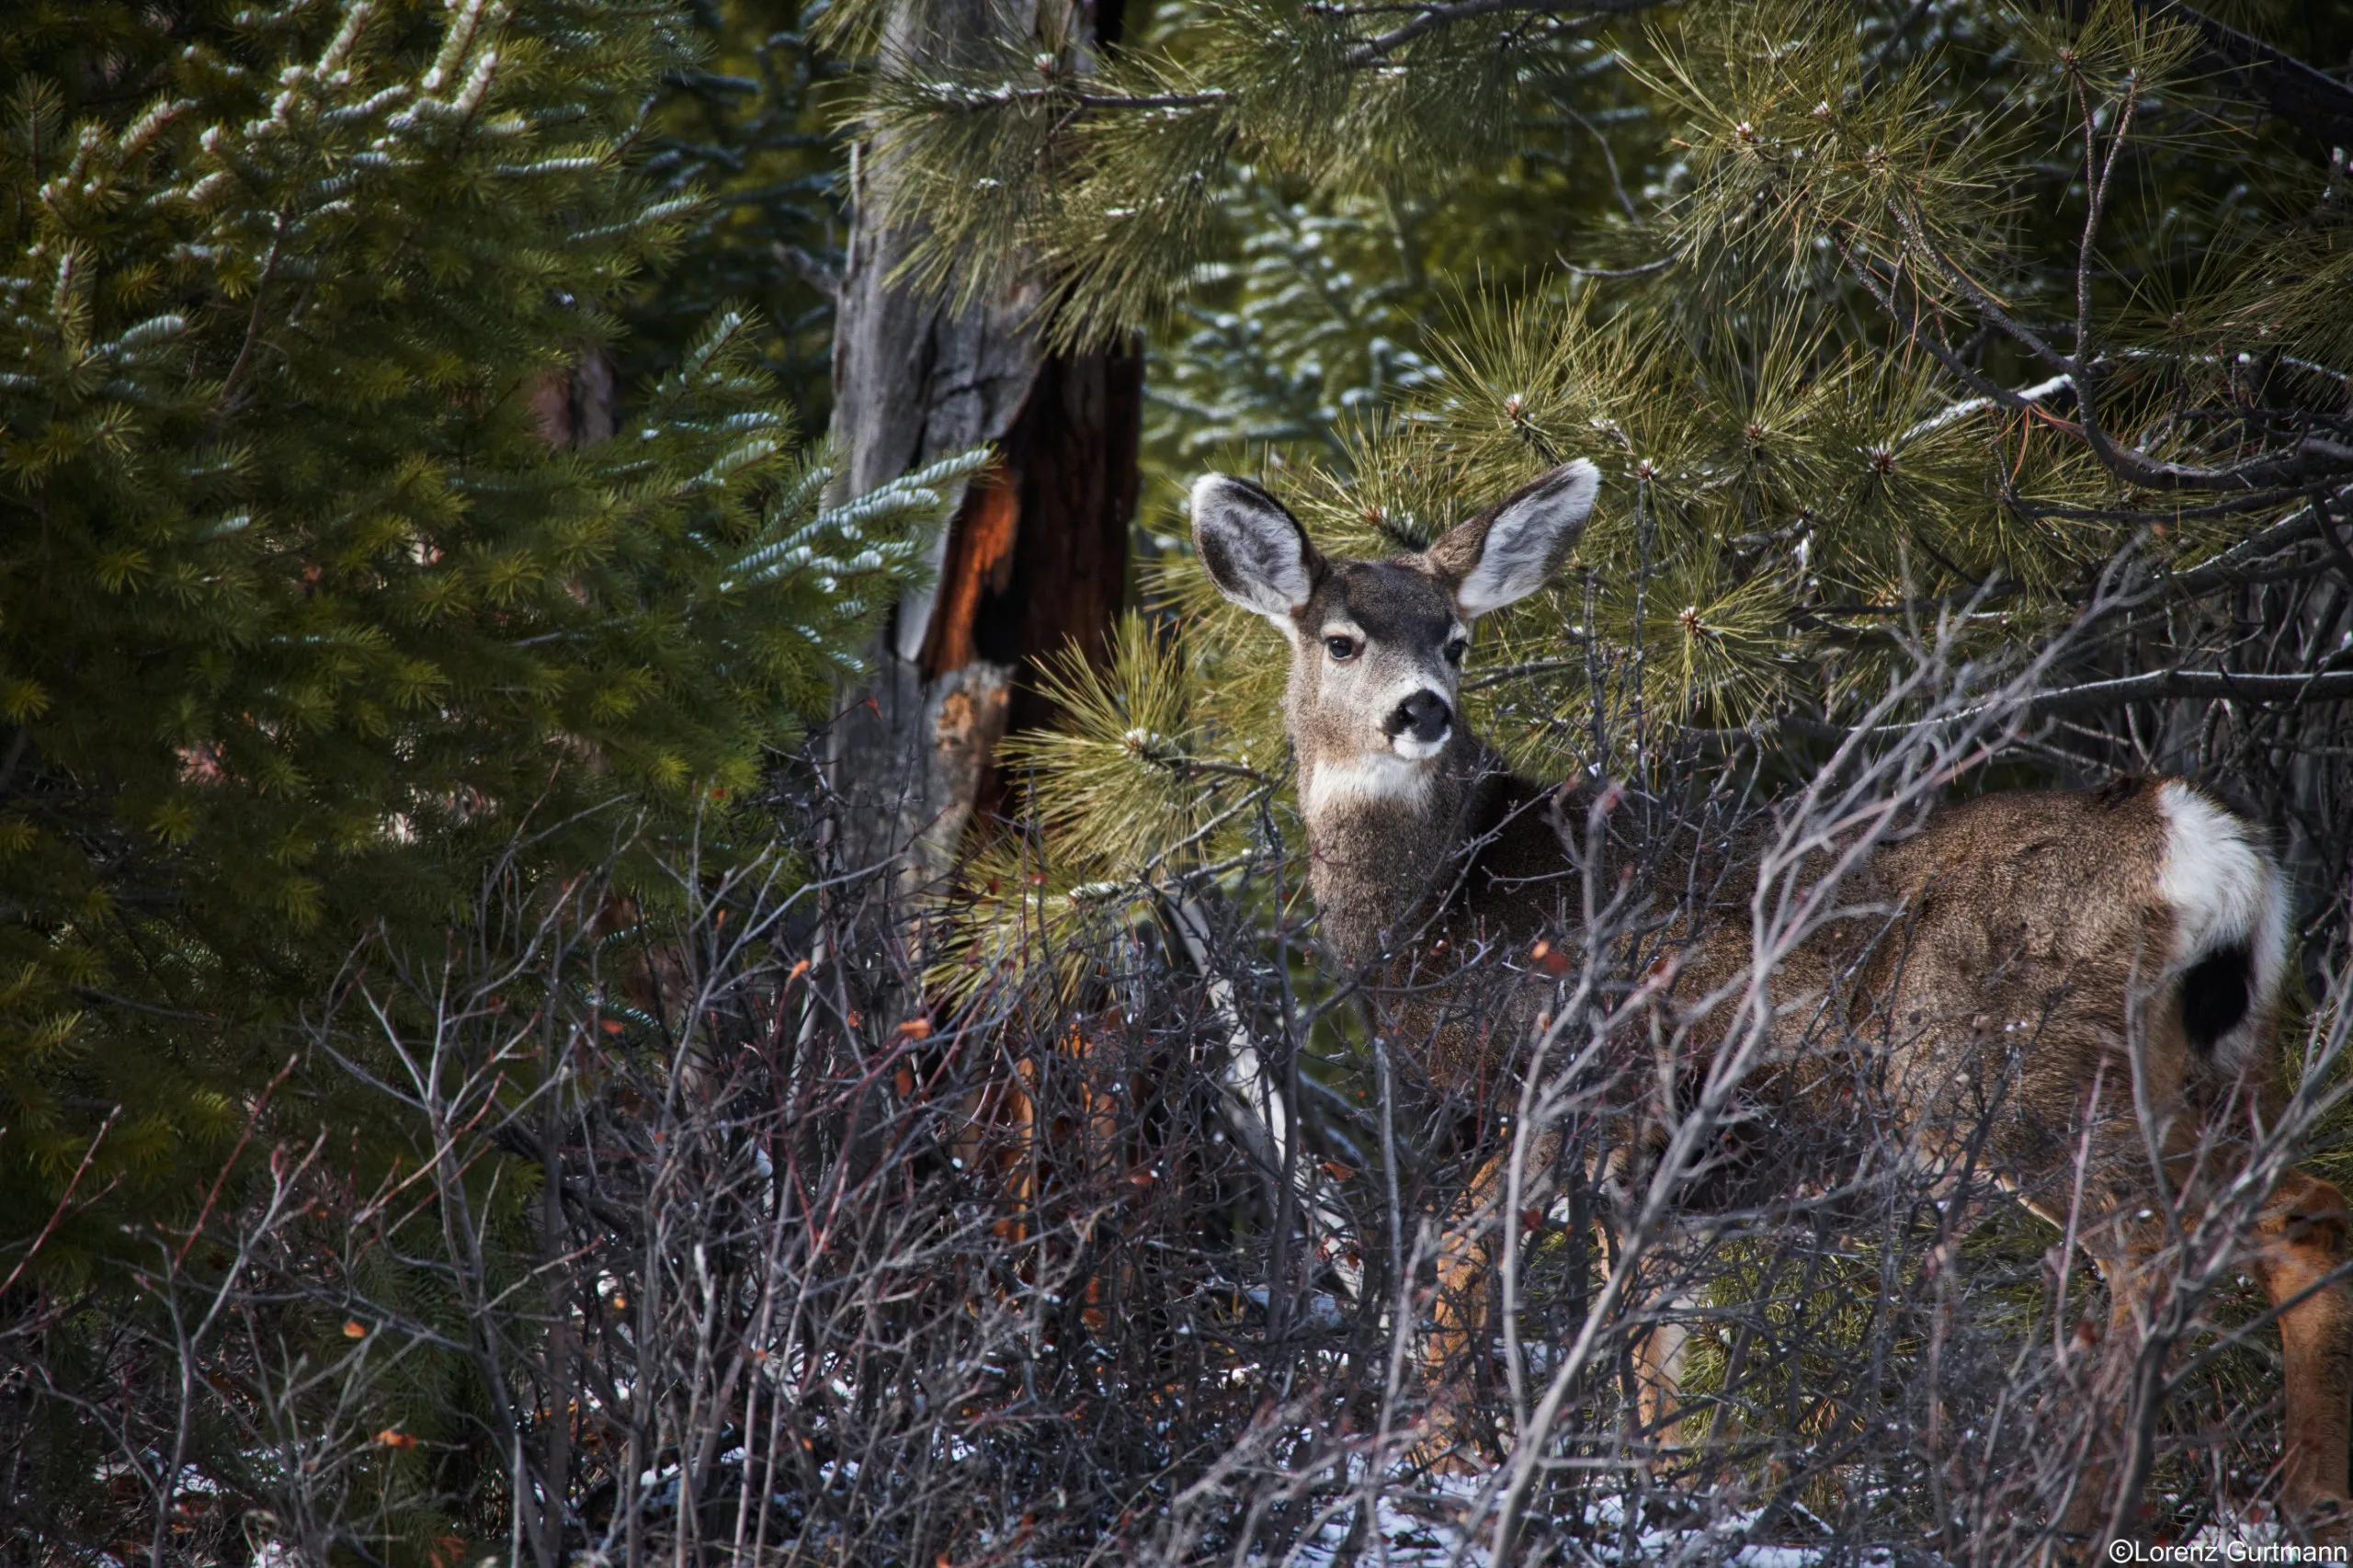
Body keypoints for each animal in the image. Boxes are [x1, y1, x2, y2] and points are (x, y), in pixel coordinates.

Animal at [1195, 459, 2353, 1535]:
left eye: (1457, 640)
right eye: (1342, 639)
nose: (1422, 711)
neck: (1442, 910)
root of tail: (2197, 840)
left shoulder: (1573, 1089)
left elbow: (1458, 1259)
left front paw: (1439, 1457)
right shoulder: (1675, 1170)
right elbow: (1655, 1351)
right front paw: (1652, 1486)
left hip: (2006, 1076)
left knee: (2154, 1259)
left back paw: (2076, 1513)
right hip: (2220, 1064)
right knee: (2301, 1208)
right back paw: (2306, 1496)